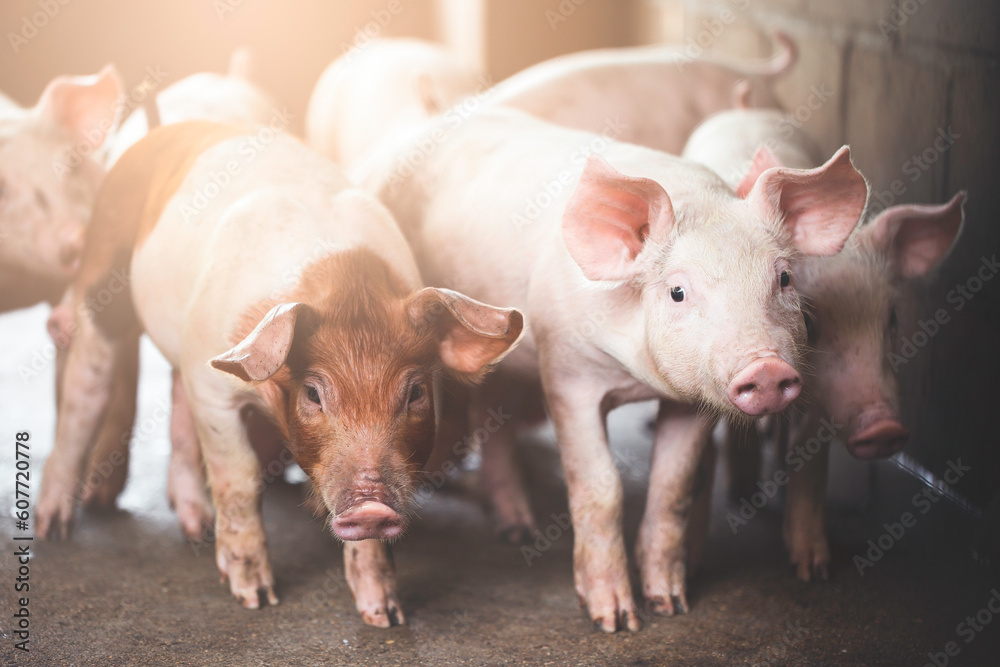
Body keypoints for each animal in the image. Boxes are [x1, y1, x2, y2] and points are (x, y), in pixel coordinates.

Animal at [35, 121, 523, 627]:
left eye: (415, 393)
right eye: (312, 393)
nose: (370, 504)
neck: (346, 286)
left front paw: (385, 616)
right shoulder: (212, 387)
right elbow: (239, 480)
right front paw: (255, 597)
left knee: (177, 409)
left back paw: (196, 529)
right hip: (101, 289)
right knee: (84, 396)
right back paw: (53, 529)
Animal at [358, 106, 868, 631]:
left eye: (784, 278)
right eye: (677, 291)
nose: (765, 368)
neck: (635, 382)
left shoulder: (691, 401)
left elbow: (673, 486)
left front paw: (670, 604)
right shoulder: (566, 372)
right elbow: (600, 485)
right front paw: (616, 621)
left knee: (494, 414)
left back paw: (518, 531)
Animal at [682, 107, 965, 579]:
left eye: (891, 318)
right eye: (810, 322)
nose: (884, 428)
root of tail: (745, 106)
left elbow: (809, 461)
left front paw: (813, 571)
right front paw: (689, 570)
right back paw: (741, 493)